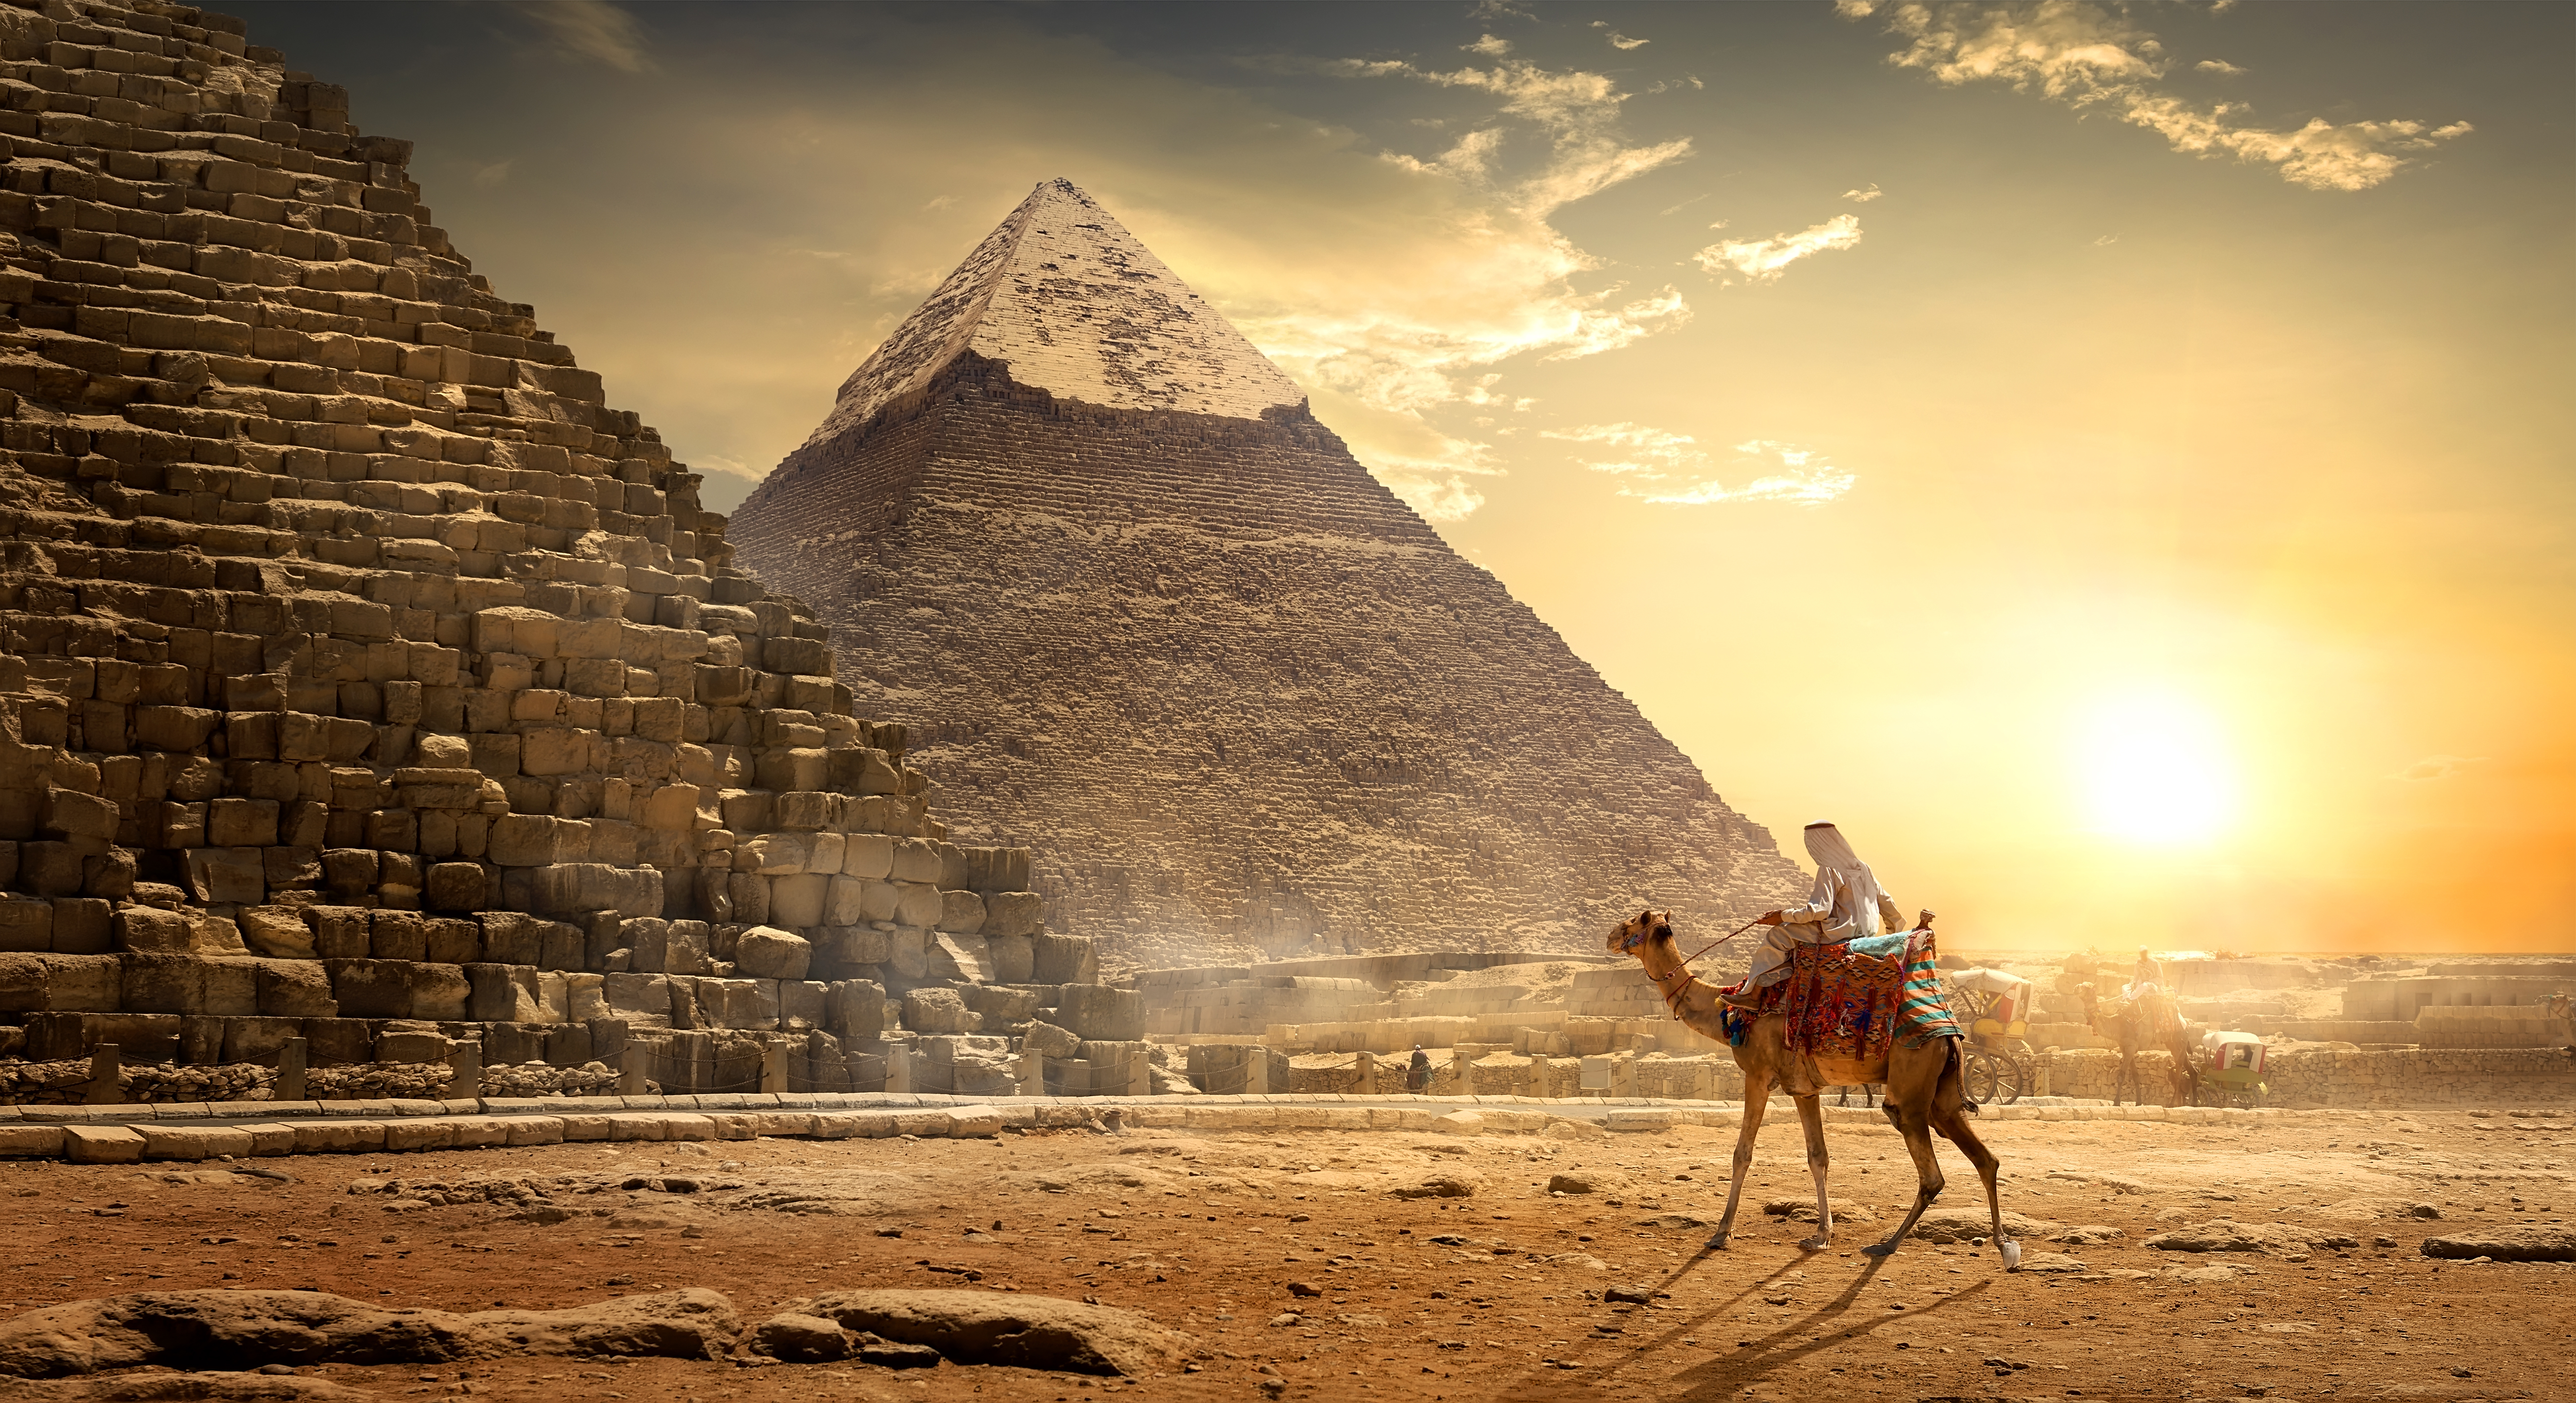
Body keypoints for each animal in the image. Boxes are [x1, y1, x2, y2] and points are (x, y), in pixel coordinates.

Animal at [1608, 909, 2020, 1270]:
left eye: (1632, 921)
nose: (1610, 937)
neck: (1725, 1013)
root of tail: (1951, 1032)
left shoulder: (1758, 1075)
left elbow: (1743, 1154)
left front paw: (1722, 1233)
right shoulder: (1805, 1089)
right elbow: (1818, 1156)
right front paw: (1822, 1235)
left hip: (1912, 1087)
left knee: (1930, 1171)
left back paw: (1887, 1244)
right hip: (1942, 1095)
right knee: (1986, 1158)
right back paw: (2005, 1246)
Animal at [2079, 983, 2201, 1107]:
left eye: (2088, 987)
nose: (2076, 988)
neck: (2118, 1026)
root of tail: (2186, 1024)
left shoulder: (2131, 1047)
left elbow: (2121, 1075)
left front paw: (2116, 1102)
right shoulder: (2125, 1047)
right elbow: (2135, 1076)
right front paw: (2138, 1102)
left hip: (2179, 1040)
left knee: (2179, 1074)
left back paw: (2171, 1104)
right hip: (2176, 1044)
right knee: (2192, 1071)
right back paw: (2194, 1103)